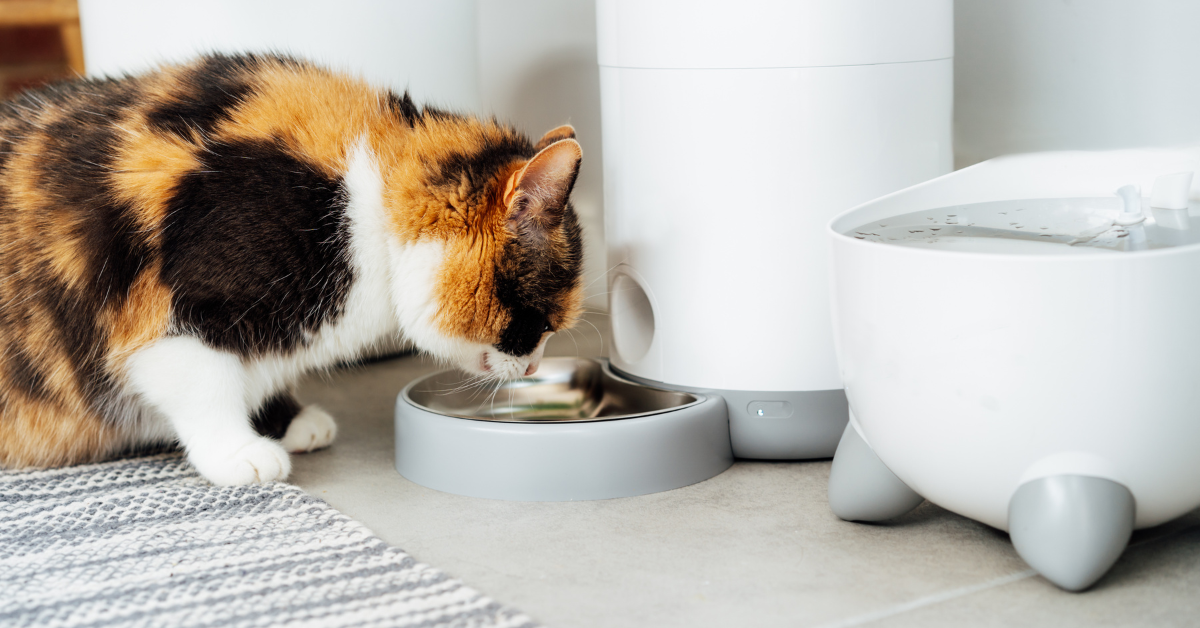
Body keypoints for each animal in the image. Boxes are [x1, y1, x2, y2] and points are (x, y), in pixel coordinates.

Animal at [0, 54, 585, 487]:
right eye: (540, 322)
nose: (534, 366)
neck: (359, 201)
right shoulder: (175, 315)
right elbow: (204, 384)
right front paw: (239, 452)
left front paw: (287, 420)